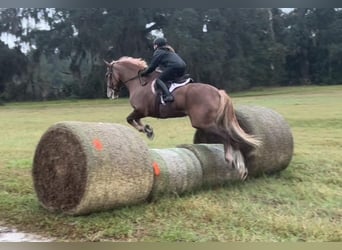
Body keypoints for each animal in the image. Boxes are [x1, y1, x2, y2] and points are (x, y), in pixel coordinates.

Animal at [103, 56, 260, 179]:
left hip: (203, 123)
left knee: (228, 136)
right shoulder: (141, 112)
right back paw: (240, 165)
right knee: (230, 136)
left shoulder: (141, 110)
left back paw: (233, 161)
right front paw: (148, 129)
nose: (110, 94)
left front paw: (147, 130)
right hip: (211, 121)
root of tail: (218, 92)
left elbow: (130, 119)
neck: (139, 82)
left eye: (108, 75)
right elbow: (135, 120)